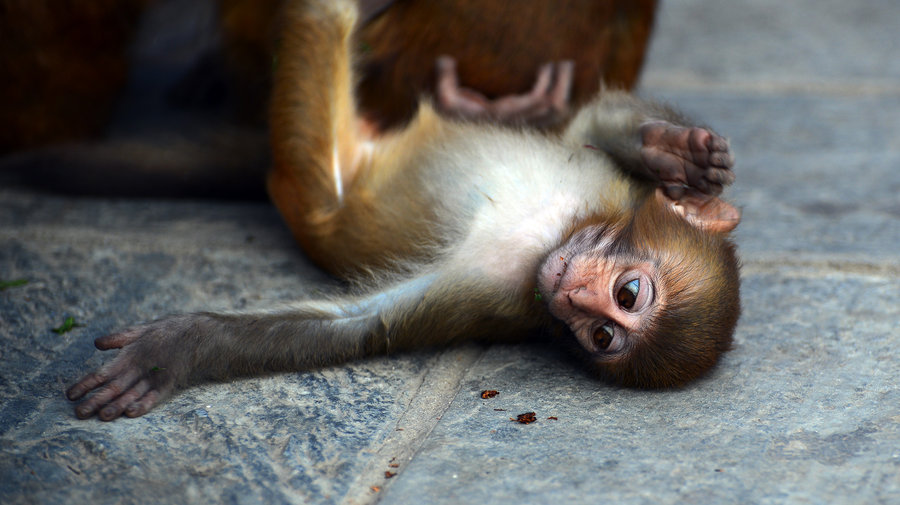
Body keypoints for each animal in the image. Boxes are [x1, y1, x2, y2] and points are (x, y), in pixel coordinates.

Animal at [67, 0, 740, 422]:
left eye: (602, 333)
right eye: (629, 292)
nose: (575, 296)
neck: (556, 232)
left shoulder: (501, 292)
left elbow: (365, 323)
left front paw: (178, 347)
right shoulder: (602, 187)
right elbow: (591, 122)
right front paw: (676, 155)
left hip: (312, 156)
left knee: (323, 21)